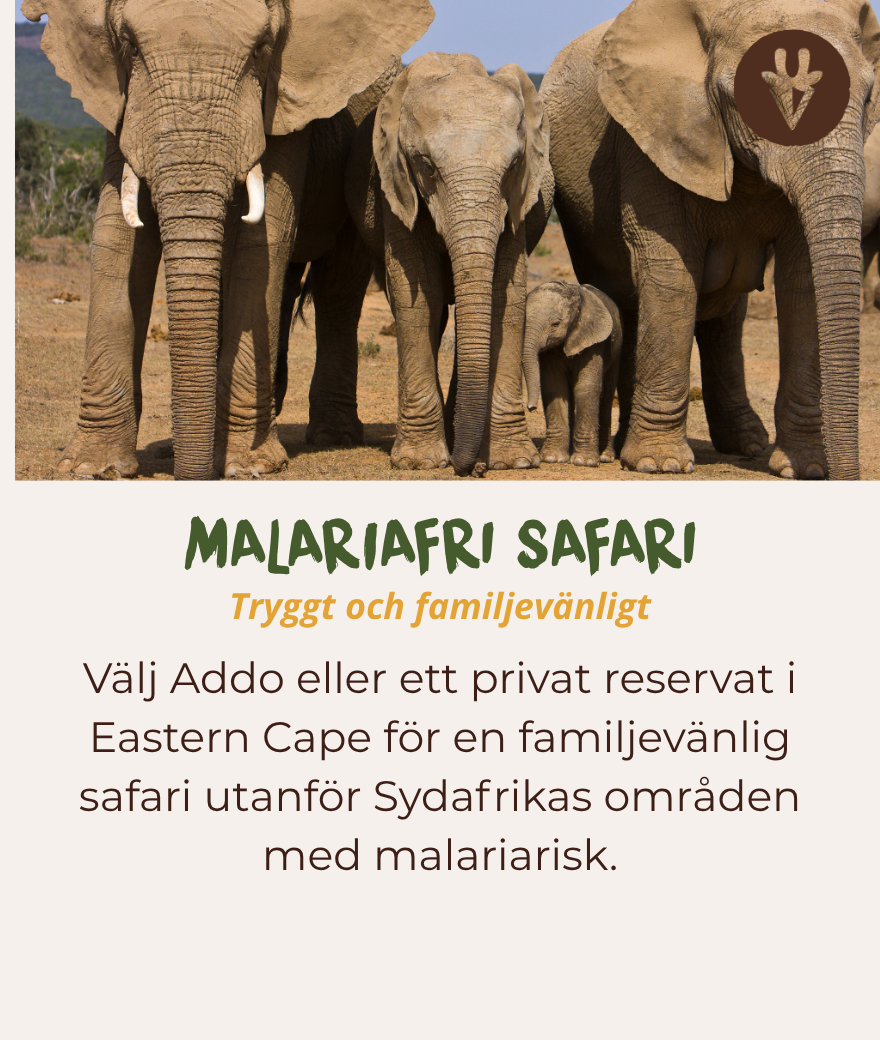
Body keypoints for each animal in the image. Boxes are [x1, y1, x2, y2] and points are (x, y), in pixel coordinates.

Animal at [25, 0, 434, 480]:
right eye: (128, 46)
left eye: (260, 50)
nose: (190, 476)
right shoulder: (121, 106)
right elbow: (116, 239)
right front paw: (92, 466)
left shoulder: (279, 106)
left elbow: (260, 244)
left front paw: (245, 465)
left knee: (337, 289)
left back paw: (332, 436)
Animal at [346, 52, 555, 475]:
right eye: (426, 165)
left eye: (514, 165)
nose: (469, 468)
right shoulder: (397, 189)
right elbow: (418, 298)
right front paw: (419, 462)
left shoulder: (517, 203)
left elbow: (506, 296)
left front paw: (513, 461)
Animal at [522, 281, 622, 467]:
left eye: (556, 324)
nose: (530, 408)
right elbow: (555, 387)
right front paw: (553, 458)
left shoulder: (594, 340)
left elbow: (586, 388)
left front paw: (585, 462)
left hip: (616, 351)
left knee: (606, 395)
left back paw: (605, 457)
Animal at [541, 0, 880, 479]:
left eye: (868, 98)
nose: (845, 477)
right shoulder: (646, 139)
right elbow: (671, 274)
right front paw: (659, 464)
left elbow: (803, 282)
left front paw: (806, 469)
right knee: (628, 301)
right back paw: (626, 448)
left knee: (725, 320)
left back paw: (746, 444)